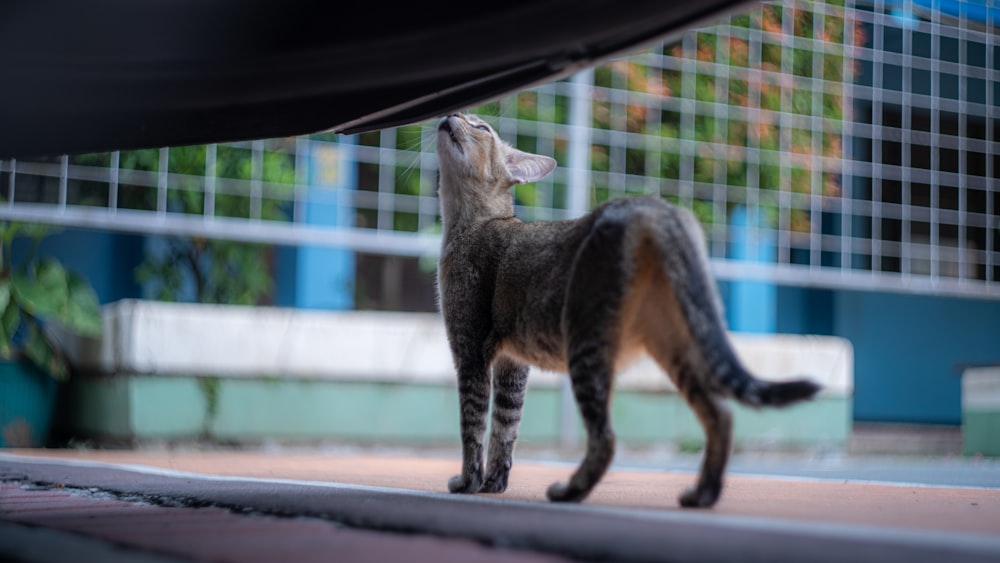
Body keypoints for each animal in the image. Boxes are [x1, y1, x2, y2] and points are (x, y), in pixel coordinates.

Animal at [436, 112, 820, 508]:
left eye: (481, 127)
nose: (452, 113)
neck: (471, 224)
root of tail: (650, 205)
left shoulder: (470, 350)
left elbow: (473, 424)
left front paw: (468, 482)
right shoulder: (512, 365)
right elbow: (505, 426)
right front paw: (494, 483)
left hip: (586, 343)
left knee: (606, 438)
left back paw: (571, 491)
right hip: (673, 343)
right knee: (720, 415)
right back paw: (703, 494)